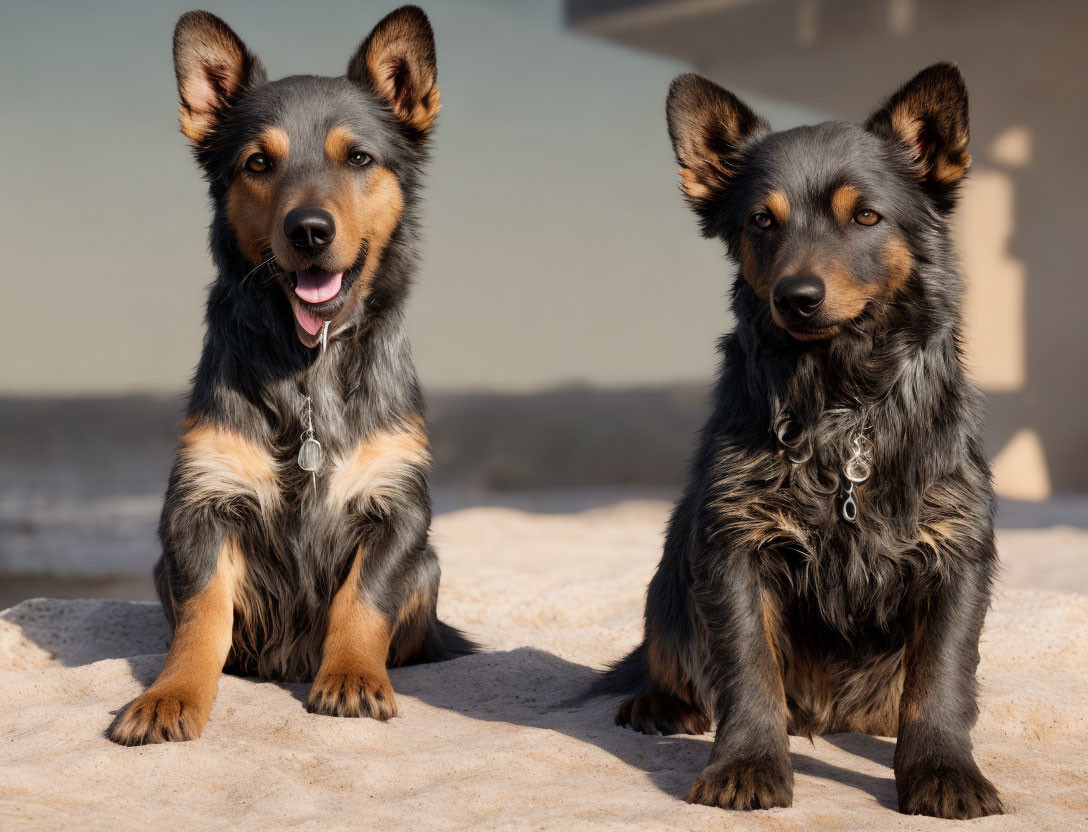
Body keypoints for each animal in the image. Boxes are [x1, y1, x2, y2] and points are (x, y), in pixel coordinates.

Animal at [107, 4, 476, 748]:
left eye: (359, 157)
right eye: (258, 163)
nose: (308, 230)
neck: (309, 364)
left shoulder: (397, 507)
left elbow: (363, 601)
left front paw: (353, 676)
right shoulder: (200, 504)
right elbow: (202, 617)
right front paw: (171, 695)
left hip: (428, 564)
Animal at [591, 64, 1005, 817]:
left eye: (866, 216)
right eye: (762, 220)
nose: (797, 296)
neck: (839, 405)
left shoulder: (956, 553)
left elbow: (939, 683)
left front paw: (943, 770)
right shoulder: (733, 545)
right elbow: (748, 669)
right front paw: (747, 763)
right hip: (674, 561)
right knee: (667, 653)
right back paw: (660, 702)